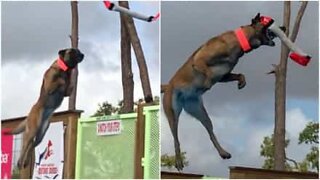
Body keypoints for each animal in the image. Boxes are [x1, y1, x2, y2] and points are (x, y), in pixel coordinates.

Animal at [162, 13, 284, 171]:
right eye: (266, 20)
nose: (283, 27)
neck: (240, 42)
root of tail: (168, 86)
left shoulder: (224, 76)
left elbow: (240, 75)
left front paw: (241, 82)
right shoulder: (199, 60)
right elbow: (207, 72)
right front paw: (207, 83)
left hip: (201, 113)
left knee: (210, 132)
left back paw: (223, 152)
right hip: (173, 113)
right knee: (176, 138)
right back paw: (178, 161)